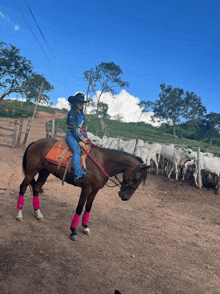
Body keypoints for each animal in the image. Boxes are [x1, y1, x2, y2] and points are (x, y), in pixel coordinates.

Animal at [16, 138, 149, 241]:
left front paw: (85, 227)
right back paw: (19, 215)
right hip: (31, 171)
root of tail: (35, 142)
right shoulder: (86, 189)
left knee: (36, 188)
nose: (125, 197)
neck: (102, 162)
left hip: (44, 172)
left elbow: (88, 207)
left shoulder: (95, 190)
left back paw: (38, 213)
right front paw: (73, 231)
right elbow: (79, 208)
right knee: (23, 187)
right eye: (136, 179)